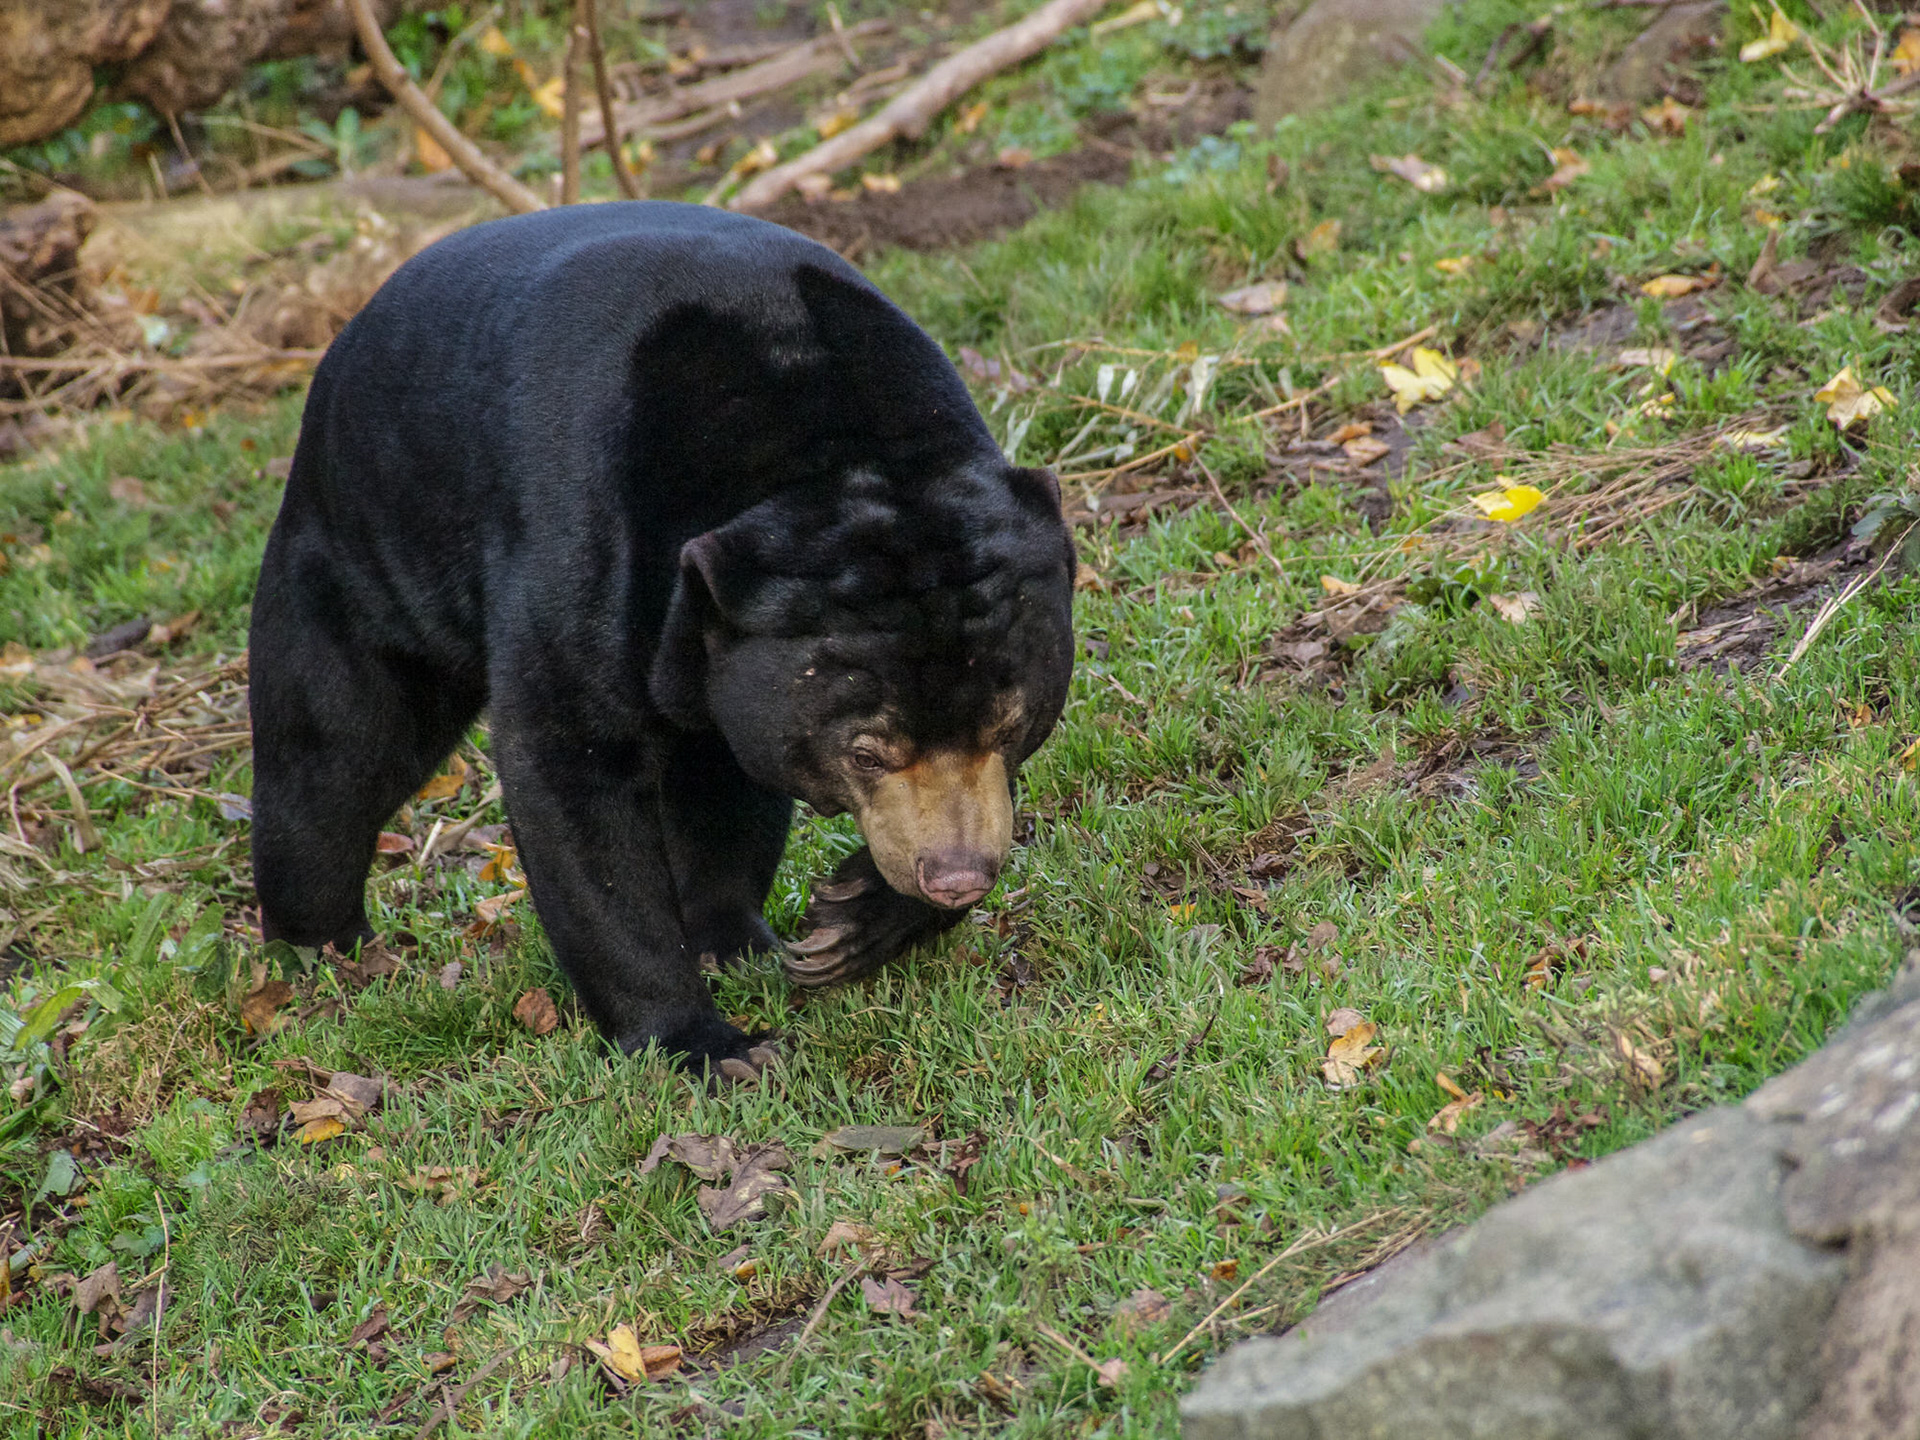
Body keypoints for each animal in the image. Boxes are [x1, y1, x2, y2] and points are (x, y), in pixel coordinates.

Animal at [247, 201, 1076, 1074]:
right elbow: (574, 776)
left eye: (1012, 728)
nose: (957, 877)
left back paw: (732, 937)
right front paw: (711, 1047)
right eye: (866, 753)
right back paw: (321, 947)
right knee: (337, 754)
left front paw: (849, 926)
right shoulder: (584, 538)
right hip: (364, 555)